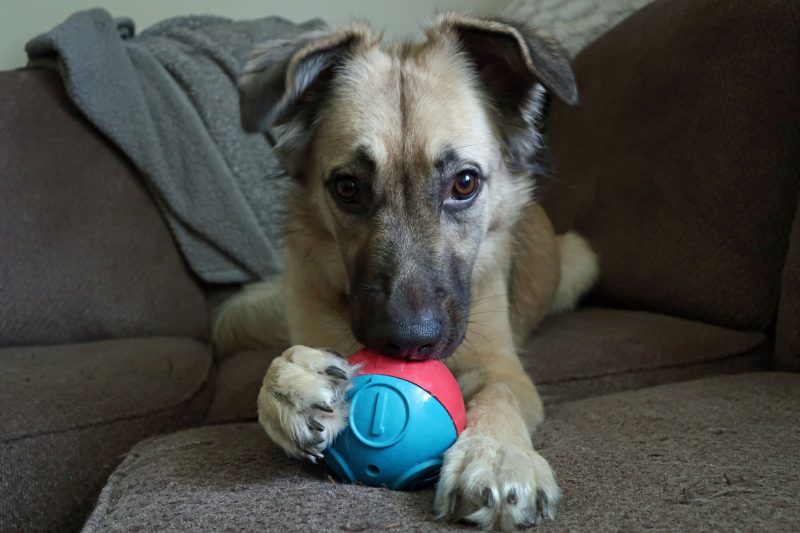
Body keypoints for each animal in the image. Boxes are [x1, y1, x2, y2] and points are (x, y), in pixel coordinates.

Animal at [216, 13, 596, 532]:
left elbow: (499, 392)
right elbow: (280, 366)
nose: (408, 344)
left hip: (580, 258)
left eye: (465, 183)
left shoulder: (501, 363)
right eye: (347, 187)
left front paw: (496, 456)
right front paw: (287, 387)